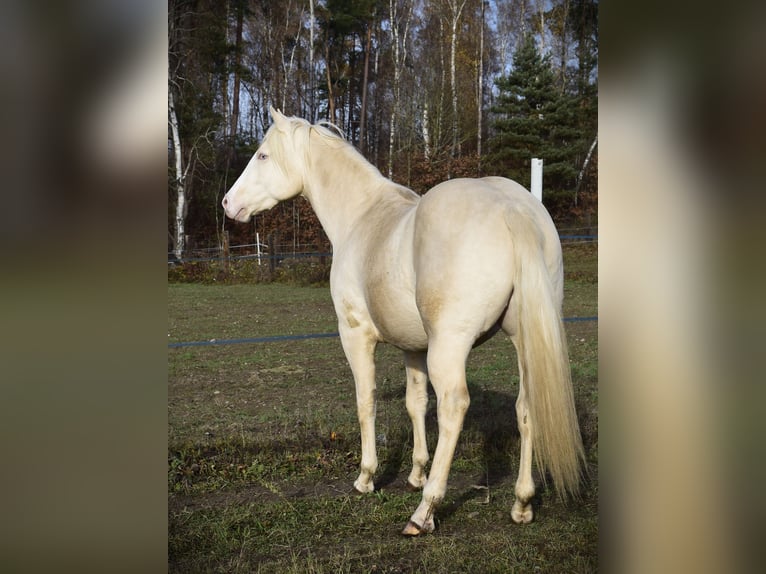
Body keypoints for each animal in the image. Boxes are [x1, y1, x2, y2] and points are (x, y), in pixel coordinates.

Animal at [222, 107, 585, 536]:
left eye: (262, 155)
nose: (228, 203)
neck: (363, 217)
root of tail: (510, 208)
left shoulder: (355, 335)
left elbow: (366, 401)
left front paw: (367, 477)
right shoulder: (414, 347)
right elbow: (416, 404)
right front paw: (416, 473)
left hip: (450, 347)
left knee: (453, 407)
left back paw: (424, 512)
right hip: (523, 340)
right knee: (526, 407)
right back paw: (522, 503)